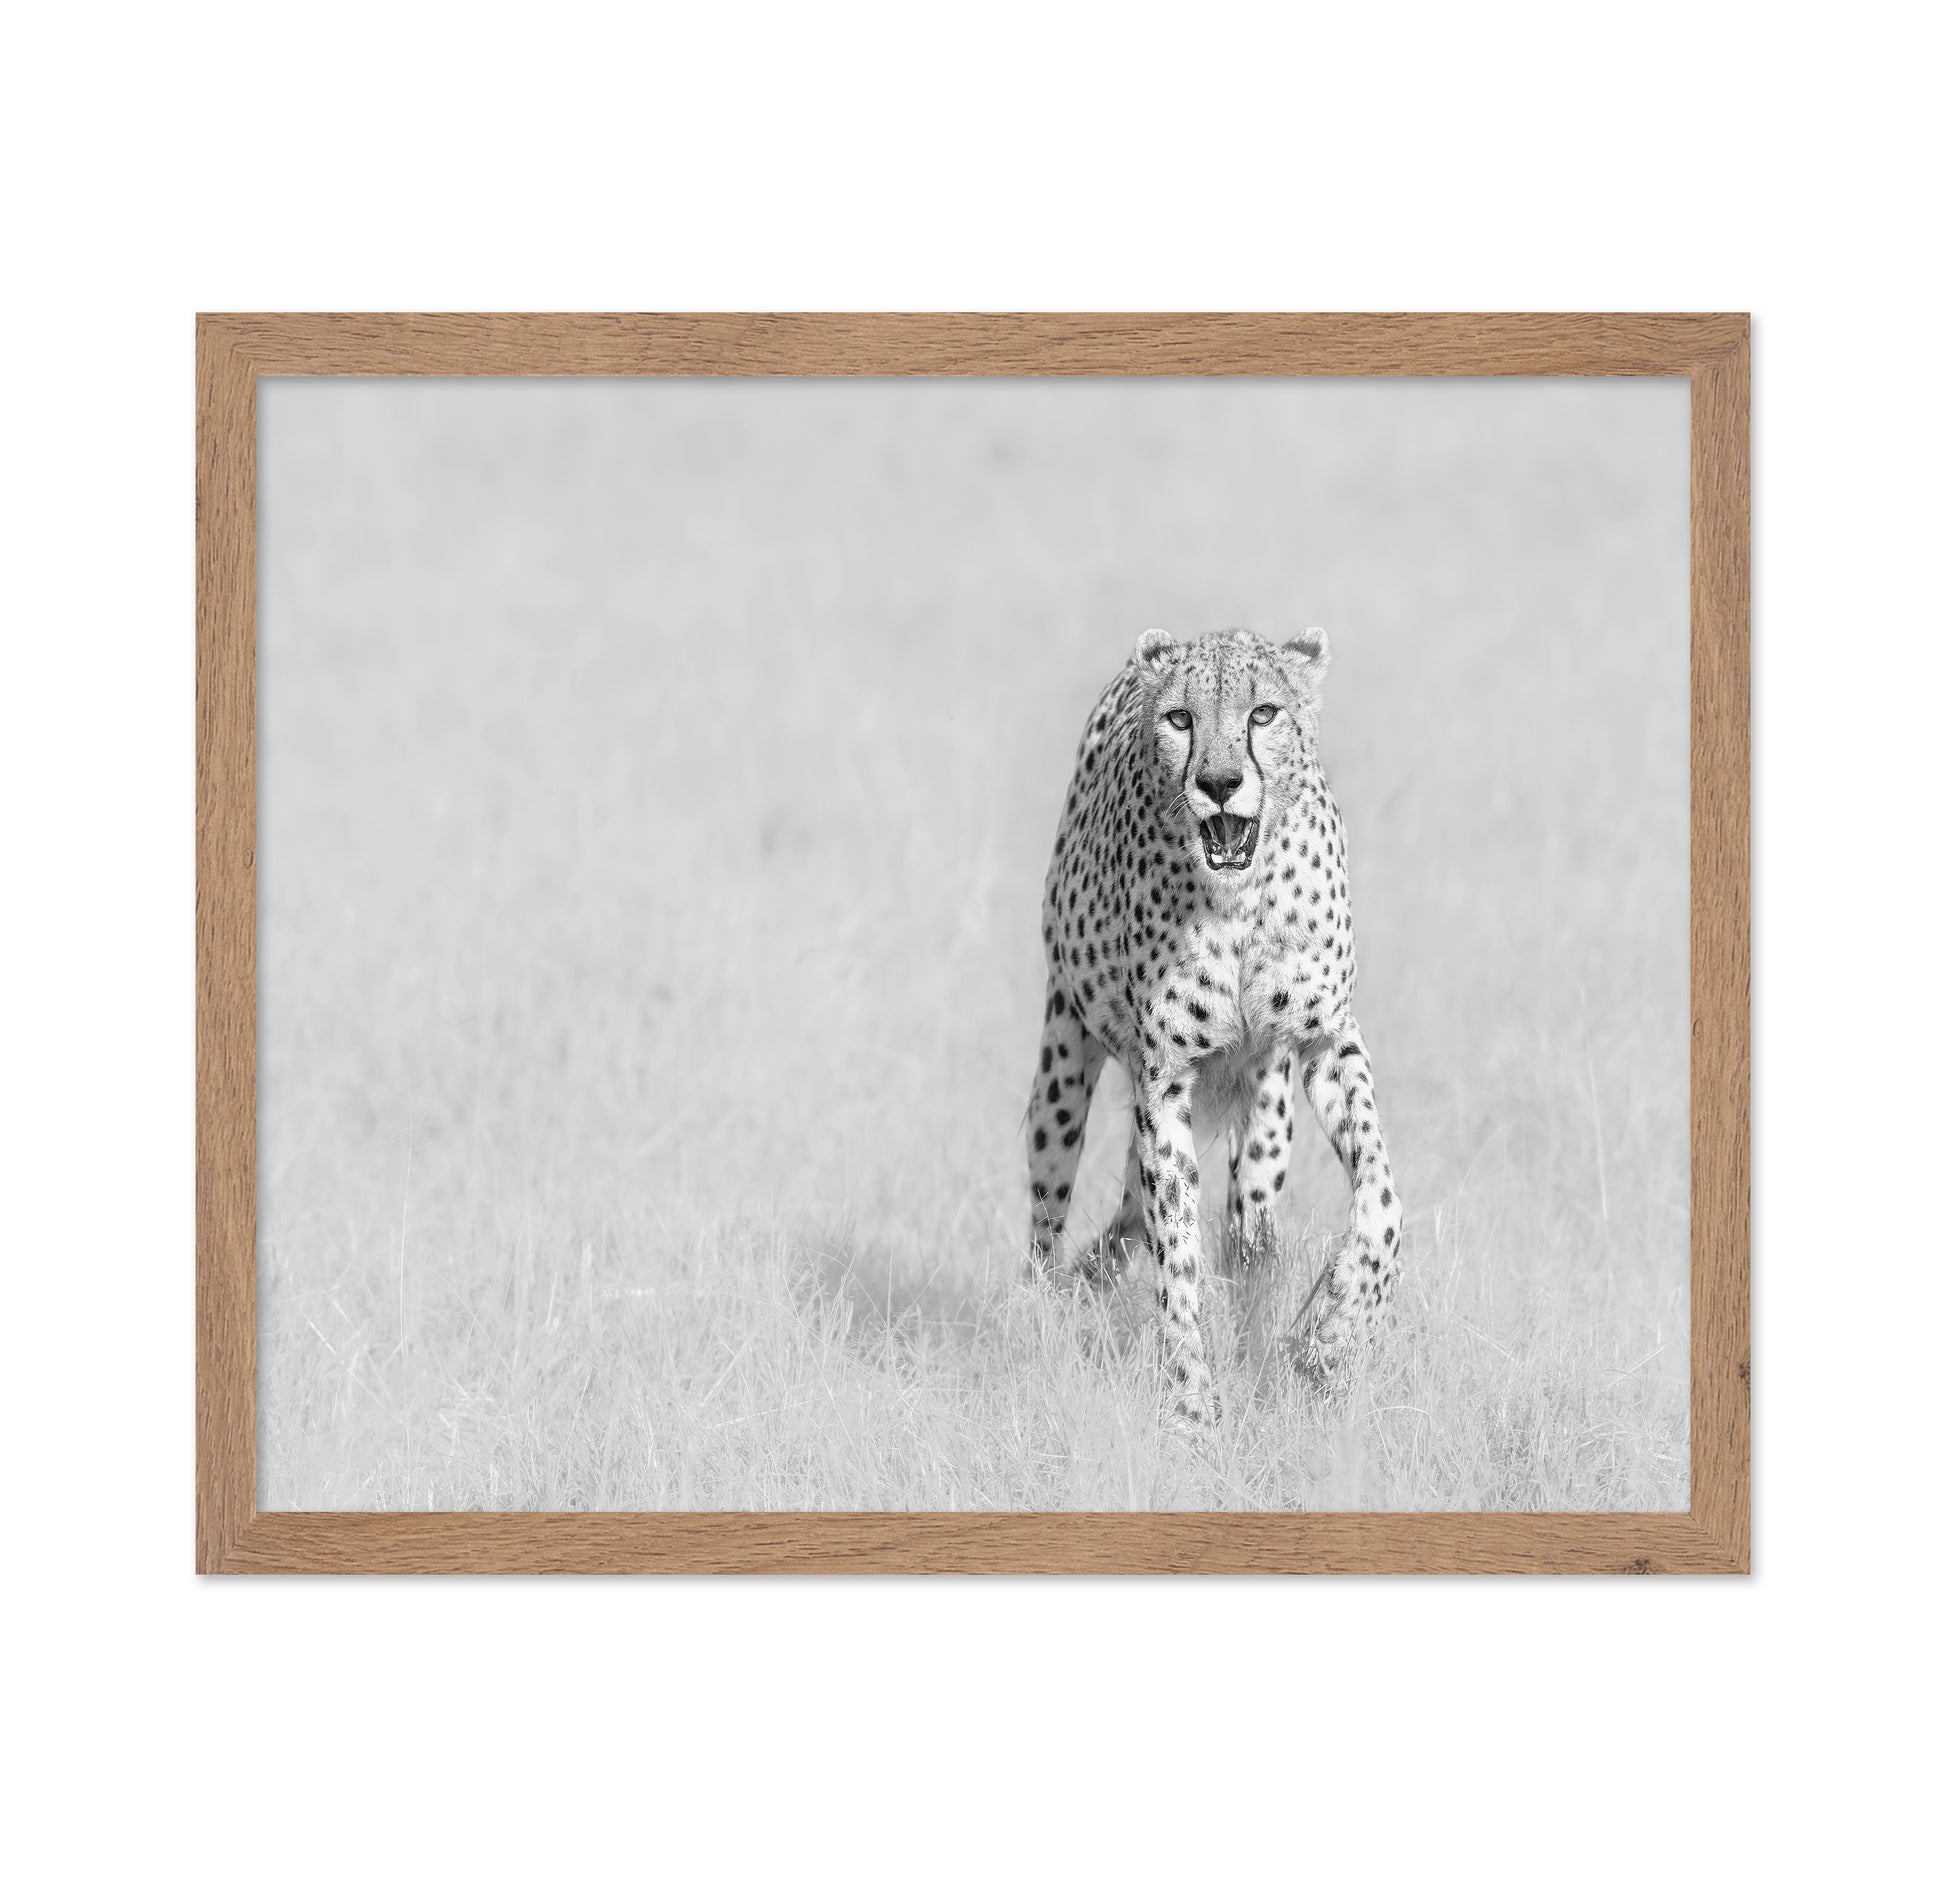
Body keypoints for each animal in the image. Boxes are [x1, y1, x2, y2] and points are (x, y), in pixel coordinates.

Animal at [1025, 626, 1402, 1423]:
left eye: (1264, 713)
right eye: (1180, 719)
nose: (1221, 783)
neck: (1239, 900)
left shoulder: (1327, 1039)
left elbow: (1383, 1199)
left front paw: (1334, 1329)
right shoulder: (1163, 1076)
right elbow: (1176, 1249)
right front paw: (1192, 1405)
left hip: (1266, 1120)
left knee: (1246, 1232)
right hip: (1062, 1065)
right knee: (1048, 1220)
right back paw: (1041, 1316)